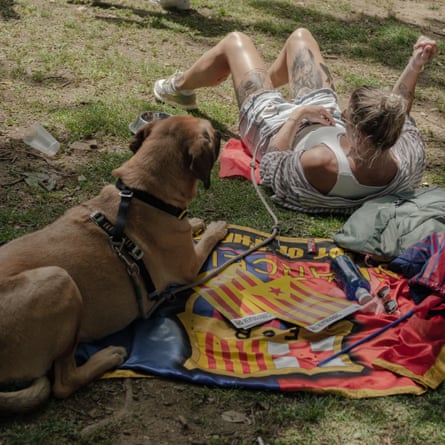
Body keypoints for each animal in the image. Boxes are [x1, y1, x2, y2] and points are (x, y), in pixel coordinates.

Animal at [0, 114, 227, 412]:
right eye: (211, 133)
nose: (223, 134)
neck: (143, 192)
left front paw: (195, 222)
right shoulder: (190, 268)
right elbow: (205, 241)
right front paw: (214, 227)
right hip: (59, 281)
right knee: (63, 382)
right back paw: (108, 357)